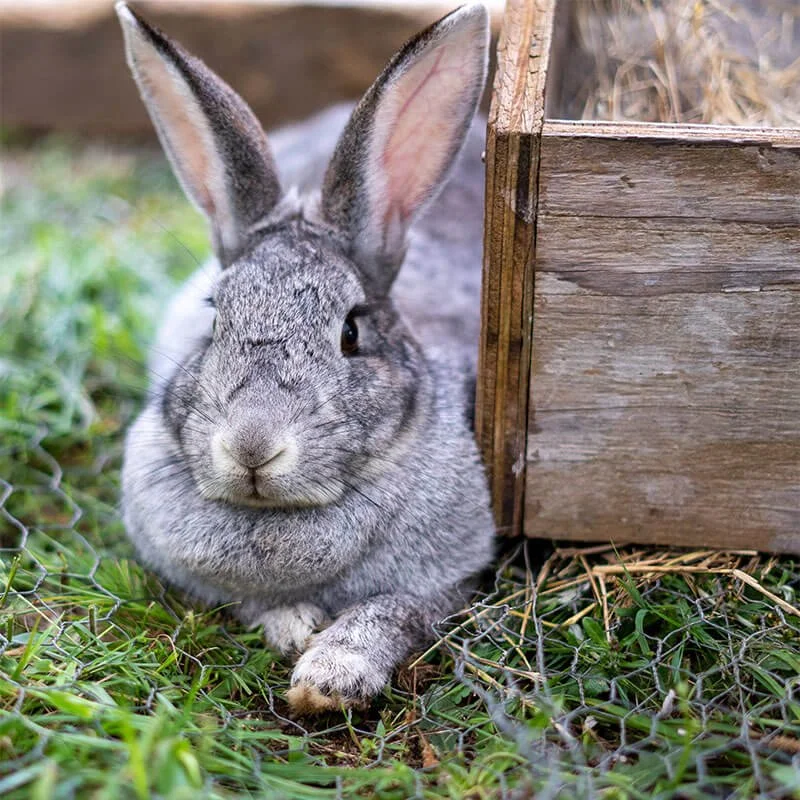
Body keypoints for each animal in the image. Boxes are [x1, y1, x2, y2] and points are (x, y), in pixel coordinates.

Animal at [116, 1, 495, 714]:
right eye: (215, 317)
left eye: (351, 332)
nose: (252, 446)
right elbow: (253, 602)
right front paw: (293, 628)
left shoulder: (450, 578)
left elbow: (393, 610)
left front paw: (330, 677)